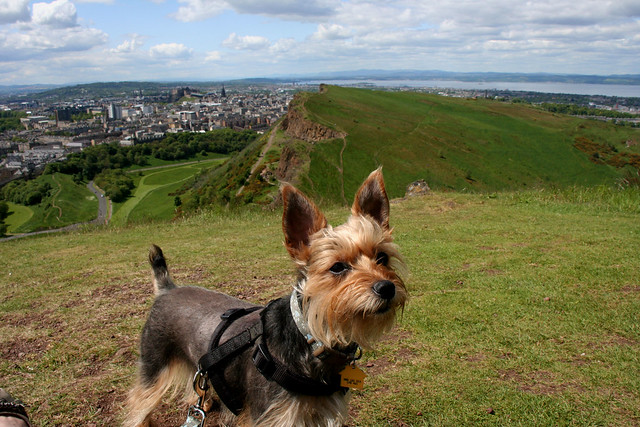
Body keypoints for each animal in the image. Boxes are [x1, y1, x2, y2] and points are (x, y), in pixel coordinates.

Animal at [125, 169, 408, 426]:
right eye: (337, 267)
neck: (313, 336)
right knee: (139, 400)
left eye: (382, 257)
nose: (386, 287)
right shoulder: (274, 415)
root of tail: (167, 287)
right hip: (153, 361)